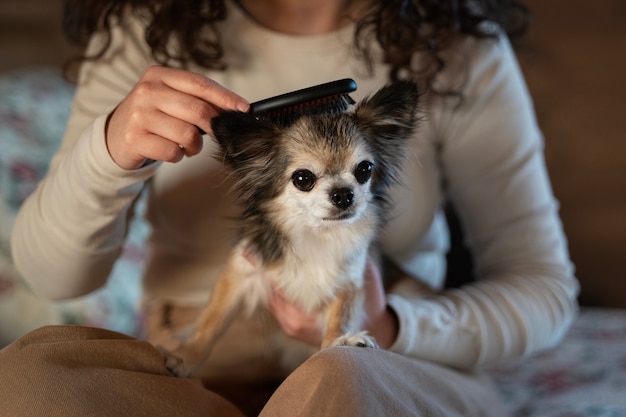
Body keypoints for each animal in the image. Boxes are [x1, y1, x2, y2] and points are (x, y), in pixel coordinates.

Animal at [165, 79, 420, 376]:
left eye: (364, 170)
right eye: (303, 179)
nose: (343, 194)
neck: (315, 232)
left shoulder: (349, 283)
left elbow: (341, 316)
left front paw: (340, 341)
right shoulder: (241, 274)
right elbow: (212, 320)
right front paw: (186, 356)